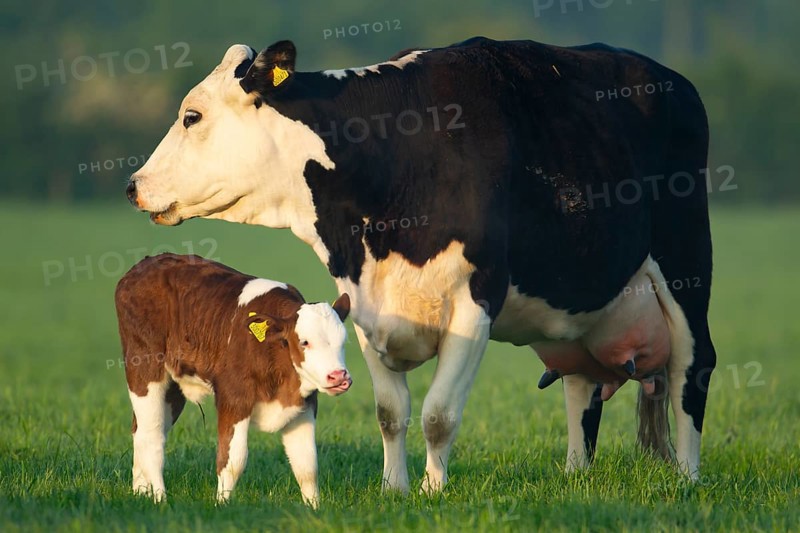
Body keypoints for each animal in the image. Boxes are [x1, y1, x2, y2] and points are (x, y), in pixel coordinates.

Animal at [115, 253, 352, 506]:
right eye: (304, 341)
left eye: (344, 341)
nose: (339, 376)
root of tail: (147, 263)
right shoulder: (233, 398)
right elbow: (233, 461)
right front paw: (222, 505)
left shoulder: (303, 405)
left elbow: (307, 465)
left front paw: (314, 508)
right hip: (145, 369)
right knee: (151, 436)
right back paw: (160, 499)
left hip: (172, 389)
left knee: (141, 430)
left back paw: (141, 492)